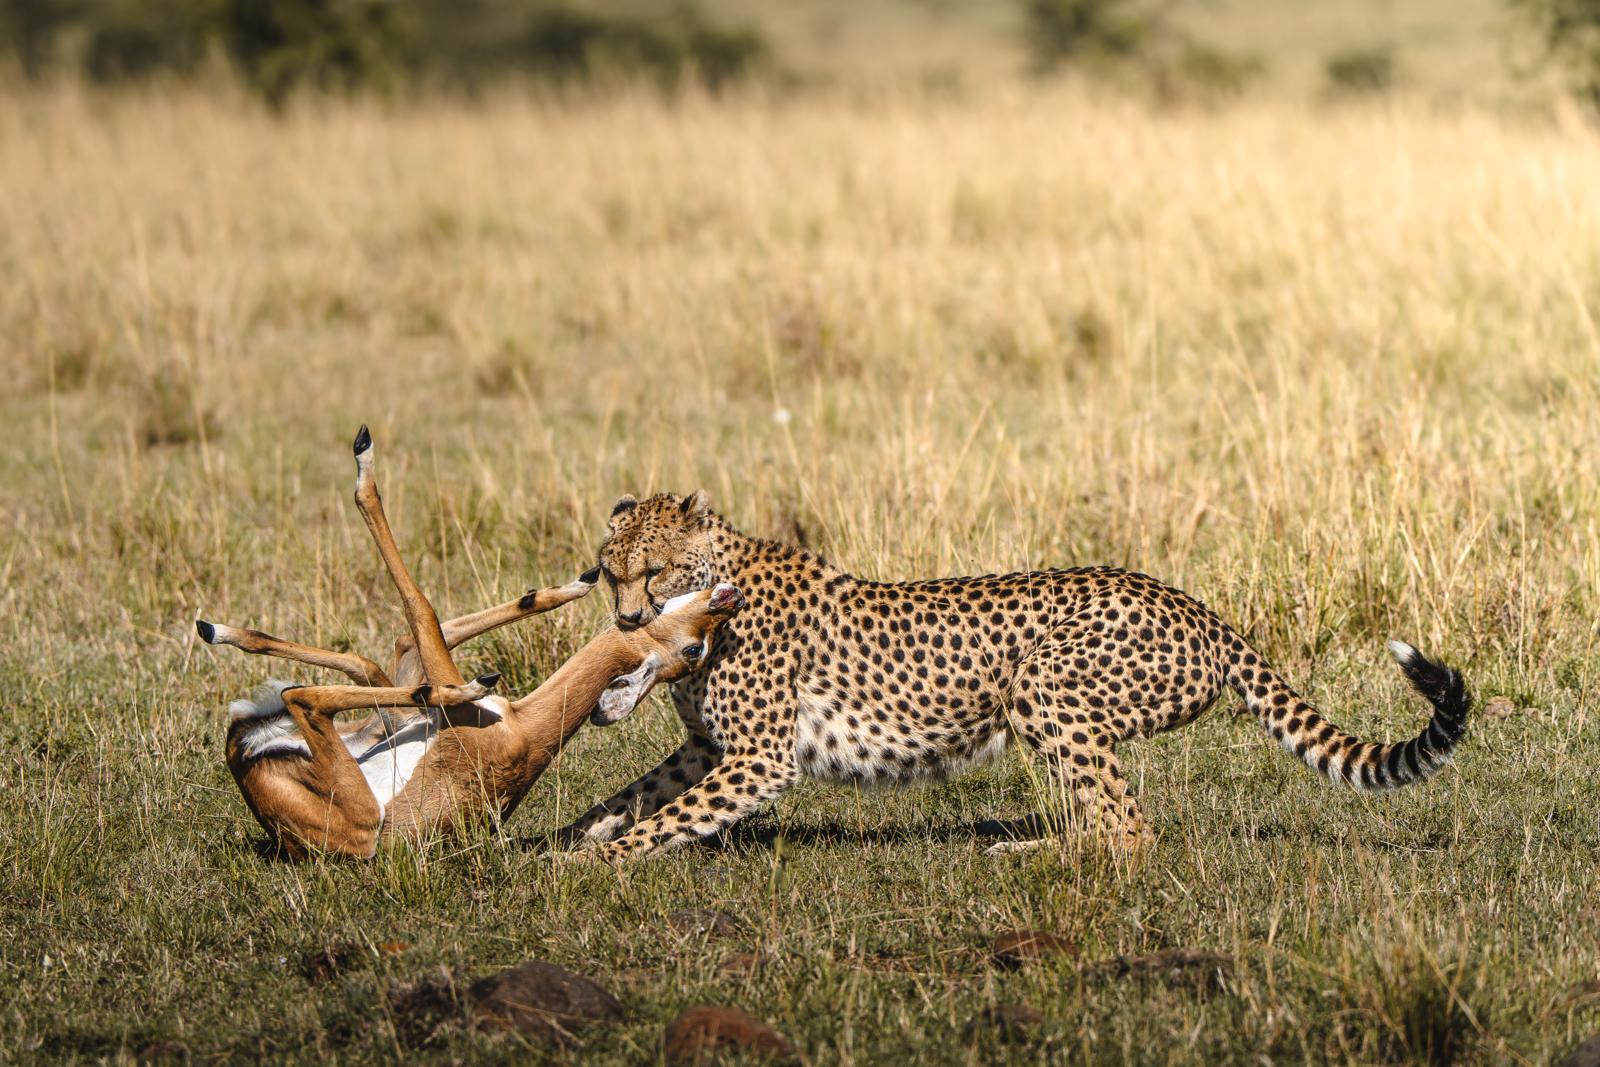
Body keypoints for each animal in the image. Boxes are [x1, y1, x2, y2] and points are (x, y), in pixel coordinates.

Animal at [197, 426, 745, 859]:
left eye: (694, 653)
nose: (730, 601)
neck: (524, 730)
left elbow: (420, 605)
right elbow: (422, 622)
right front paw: (575, 584)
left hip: (359, 780)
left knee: (307, 694)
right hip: (384, 720)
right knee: (372, 662)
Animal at [560, 491, 1470, 860]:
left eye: (659, 570)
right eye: (610, 573)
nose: (630, 623)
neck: (715, 595)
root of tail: (1198, 604)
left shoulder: (759, 758)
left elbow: (669, 816)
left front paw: (595, 863)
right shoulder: (710, 747)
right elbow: (636, 793)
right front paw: (567, 836)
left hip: (1044, 683)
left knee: (1130, 829)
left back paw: (1031, 853)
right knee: (1106, 814)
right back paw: (1033, 842)